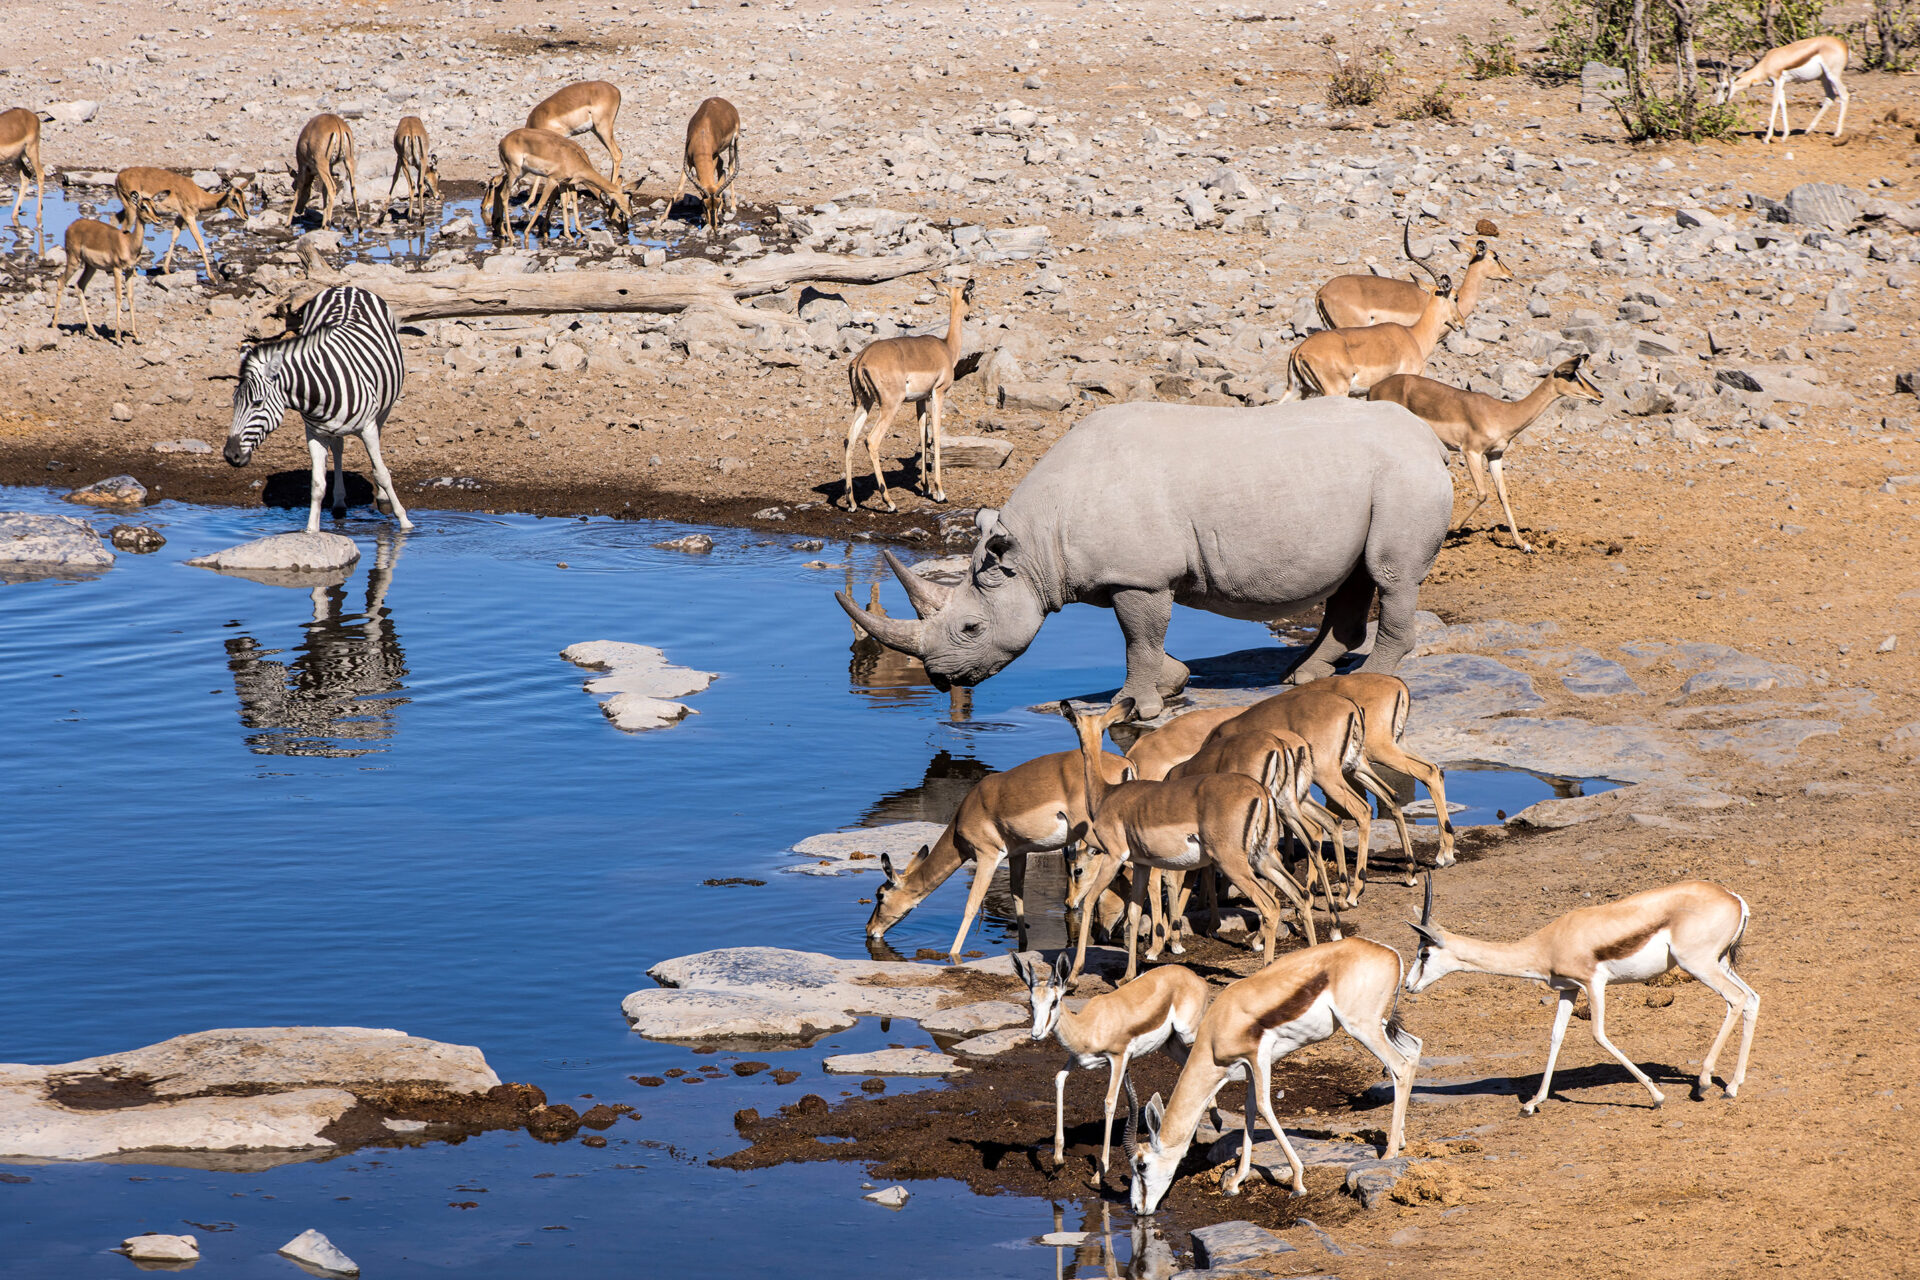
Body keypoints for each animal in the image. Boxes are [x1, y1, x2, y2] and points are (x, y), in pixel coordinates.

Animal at [835, 399, 1453, 718]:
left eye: (970, 628)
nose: (939, 681)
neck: (1035, 548)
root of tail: (1429, 436)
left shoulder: (1140, 576)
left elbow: (1138, 634)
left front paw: (1134, 705)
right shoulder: (1126, 574)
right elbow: (1146, 638)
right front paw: (1173, 682)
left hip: (1404, 476)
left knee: (1390, 574)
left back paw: (1370, 682)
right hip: (1373, 479)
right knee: (1355, 577)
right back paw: (1302, 677)